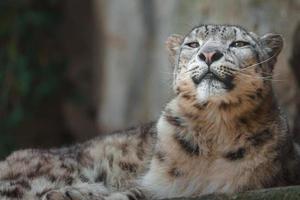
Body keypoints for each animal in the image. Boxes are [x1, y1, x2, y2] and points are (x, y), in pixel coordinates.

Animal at [1, 24, 298, 199]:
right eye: (193, 44)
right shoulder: (154, 187)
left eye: (238, 44)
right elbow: (130, 193)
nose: (209, 55)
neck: (215, 126)